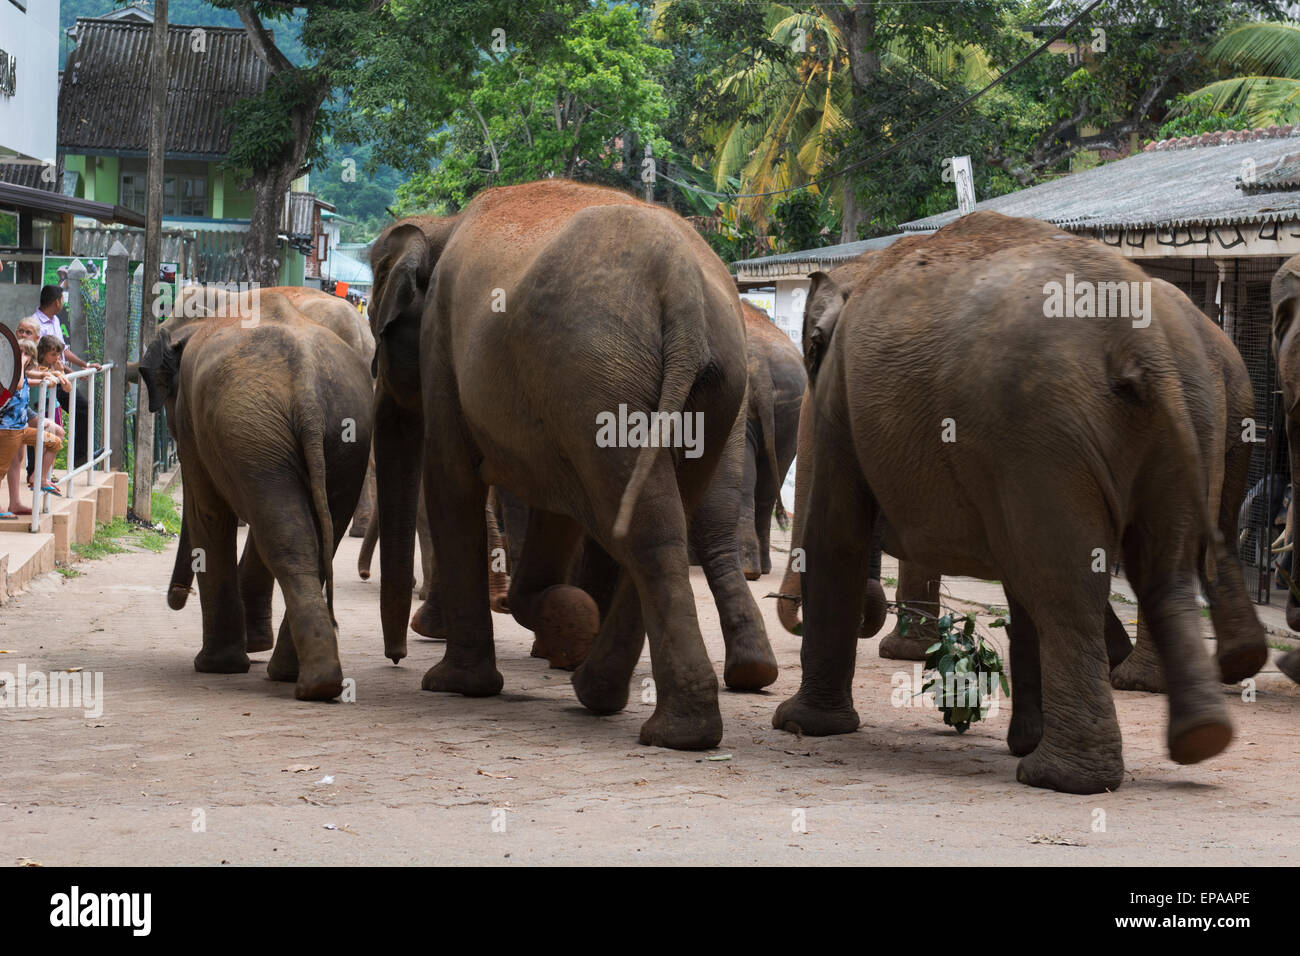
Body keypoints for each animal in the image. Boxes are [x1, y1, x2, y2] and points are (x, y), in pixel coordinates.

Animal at [141, 287, 377, 697]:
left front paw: (218, 666)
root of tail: (306, 383)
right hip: (333, 430)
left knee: (281, 537)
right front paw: (251, 649)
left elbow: (209, 513)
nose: (176, 598)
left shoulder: (194, 421)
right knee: (307, 535)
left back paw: (302, 680)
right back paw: (308, 679)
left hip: (253, 427)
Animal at [366, 179, 769, 749]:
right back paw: (613, 700)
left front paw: (454, 684)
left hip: (597, 372)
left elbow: (452, 482)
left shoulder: (441, 346)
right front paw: (567, 618)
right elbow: (553, 509)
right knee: (663, 520)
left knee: (644, 526)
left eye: (379, 329)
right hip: (704, 388)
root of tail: (682, 283)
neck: (442, 225)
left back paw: (666, 725)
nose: (396, 657)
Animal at [774, 213, 1263, 796]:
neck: (859, 264)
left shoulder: (838, 398)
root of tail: (1145, 346)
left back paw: (1060, 777)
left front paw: (799, 724)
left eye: (811, 350)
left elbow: (836, 535)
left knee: (1064, 585)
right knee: (1160, 573)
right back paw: (1199, 738)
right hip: (1184, 420)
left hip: (1042, 432)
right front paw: (1024, 738)